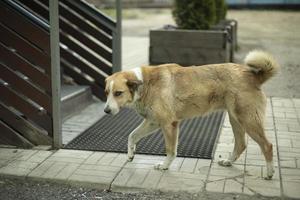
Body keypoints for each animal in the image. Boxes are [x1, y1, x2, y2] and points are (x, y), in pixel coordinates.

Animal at [105, 50, 278, 180]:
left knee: (267, 145)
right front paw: (130, 154)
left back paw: (270, 173)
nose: (106, 111)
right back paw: (229, 162)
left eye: (118, 93)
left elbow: (170, 150)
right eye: (106, 92)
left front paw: (165, 166)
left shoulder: (169, 124)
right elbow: (132, 136)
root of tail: (253, 75)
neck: (145, 84)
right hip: (235, 119)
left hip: (247, 120)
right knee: (241, 144)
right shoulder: (153, 122)